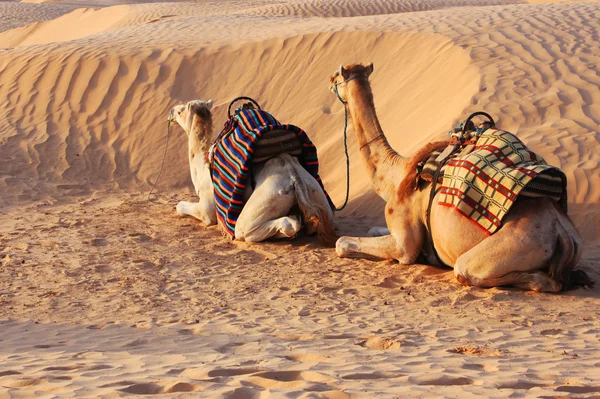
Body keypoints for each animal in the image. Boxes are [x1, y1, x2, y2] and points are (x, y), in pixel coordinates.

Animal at [169, 98, 338, 245]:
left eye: (181, 110)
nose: (171, 112)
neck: (202, 163)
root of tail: (295, 179)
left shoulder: (208, 207)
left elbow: (181, 206)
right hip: (317, 195)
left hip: (265, 200)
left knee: (257, 228)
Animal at [328, 63, 584, 294]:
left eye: (337, 78)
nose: (329, 81)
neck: (395, 176)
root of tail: (564, 233)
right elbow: (372, 229)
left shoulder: (404, 244)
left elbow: (342, 243)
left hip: (511, 246)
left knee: (473, 272)